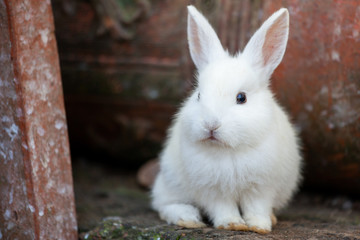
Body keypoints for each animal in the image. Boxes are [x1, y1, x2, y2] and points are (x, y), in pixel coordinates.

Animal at [150, 5, 302, 234]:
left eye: (241, 98)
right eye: (199, 95)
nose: (211, 125)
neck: (229, 150)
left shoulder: (261, 187)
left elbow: (257, 208)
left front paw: (259, 227)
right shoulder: (213, 189)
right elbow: (223, 208)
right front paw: (233, 224)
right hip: (170, 182)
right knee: (164, 205)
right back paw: (188, 218)